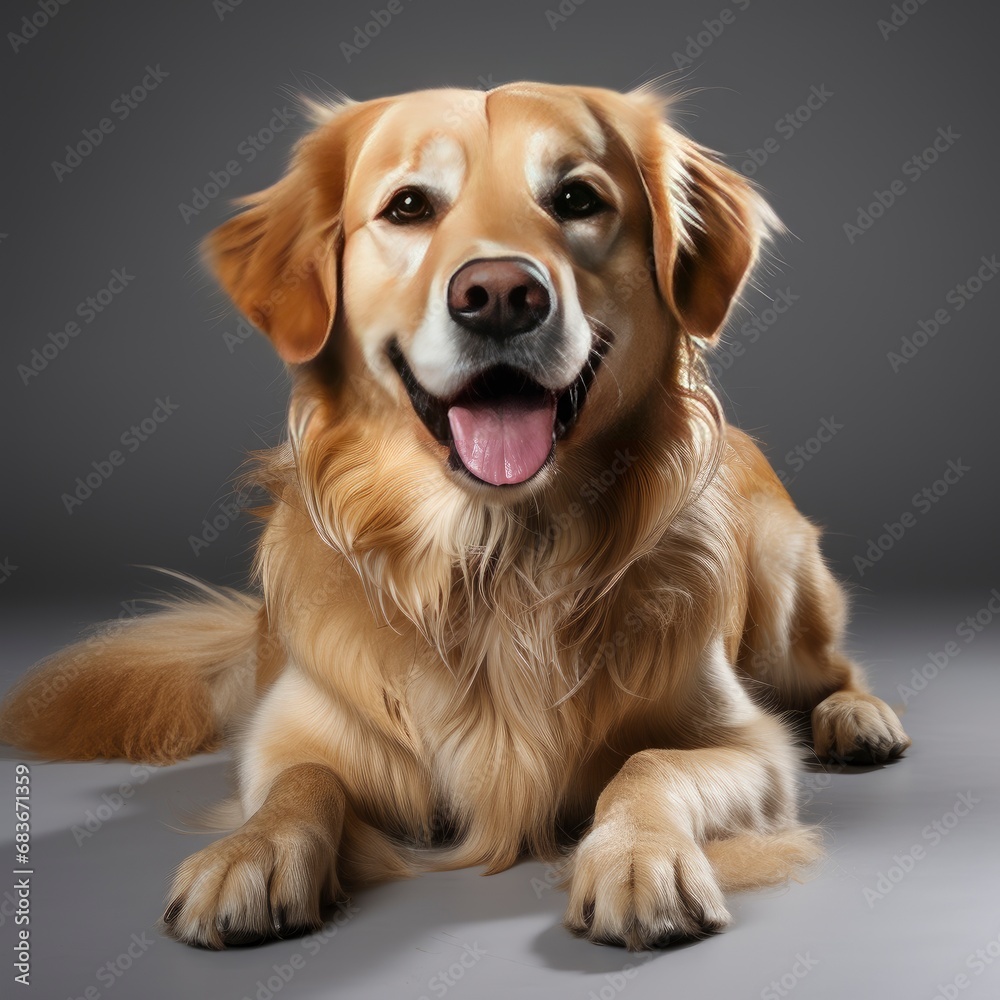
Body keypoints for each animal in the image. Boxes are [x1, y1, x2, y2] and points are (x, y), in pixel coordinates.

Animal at [0, 82, 912, 948]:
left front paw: (639, 861)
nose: (501, 294)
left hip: (783, 577)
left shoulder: (748, 744)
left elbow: (651, 763)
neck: (498, 561)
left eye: (577, 198)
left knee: (830, 668)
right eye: (409, 206)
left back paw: (857, 718)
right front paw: (250, 855)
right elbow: (301, 779)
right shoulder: (295, 729)